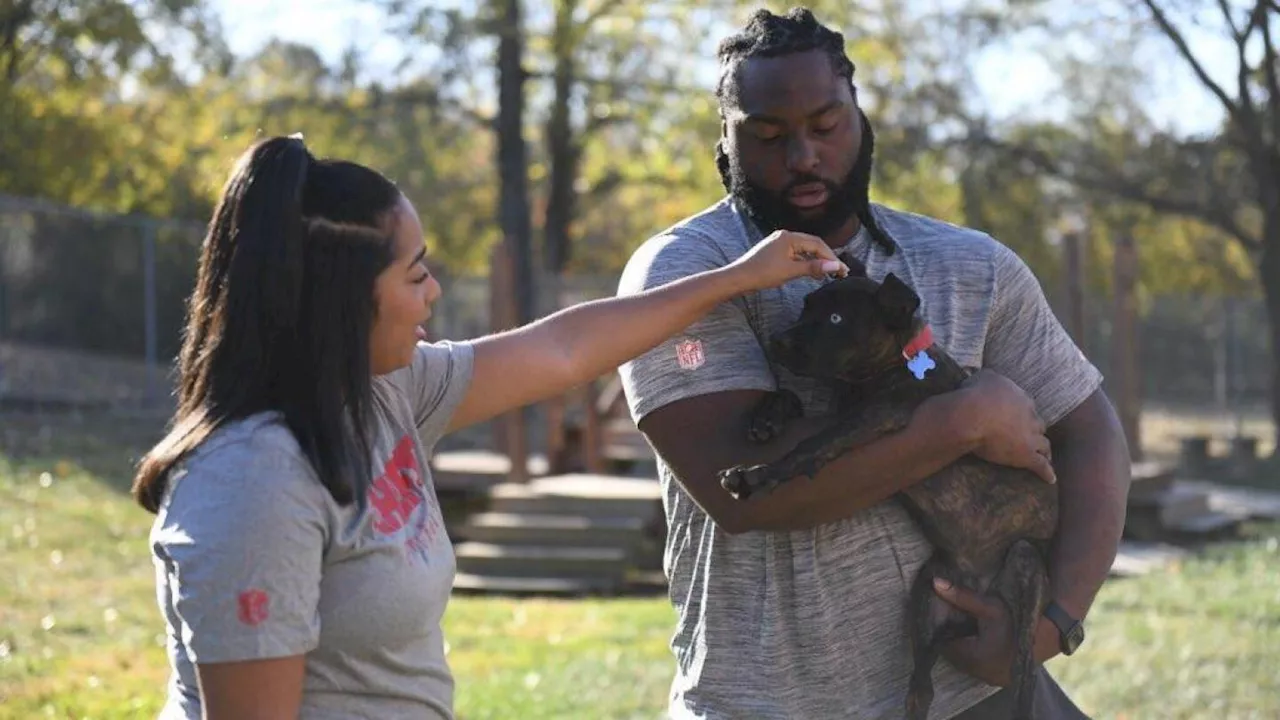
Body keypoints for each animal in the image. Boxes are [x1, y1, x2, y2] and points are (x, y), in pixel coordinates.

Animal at [721, 267, 1059, 717]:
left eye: (837, 320)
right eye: (806, 306)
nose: (777, 341)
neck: (896, 362)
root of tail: (977, 594)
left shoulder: (874, 418)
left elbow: (810, 446)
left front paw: (757, 476)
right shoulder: (844, 411)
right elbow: (792, 398)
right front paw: (766, 417)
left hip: (1023, 569)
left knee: (1022, 673)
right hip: (926, 597)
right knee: (922, 687)